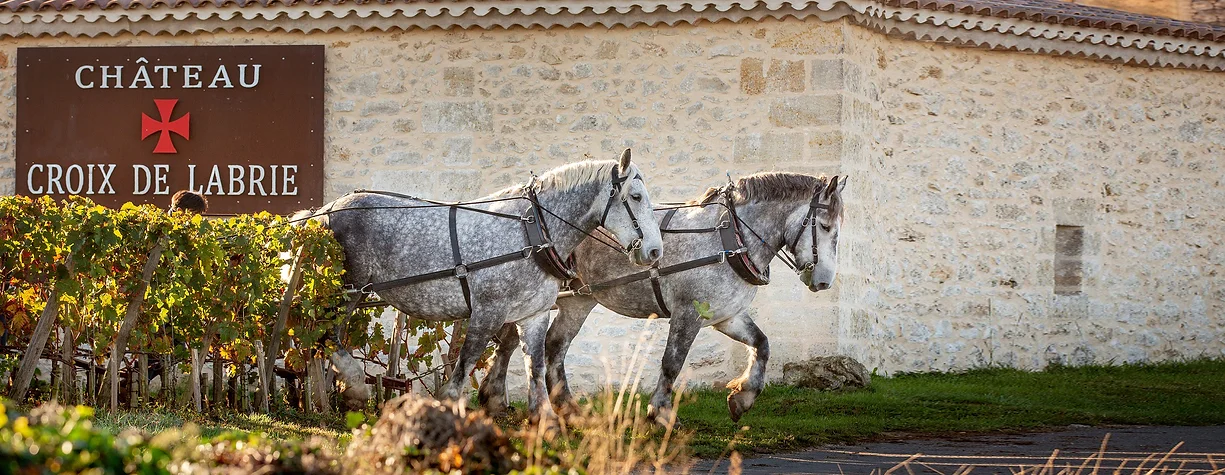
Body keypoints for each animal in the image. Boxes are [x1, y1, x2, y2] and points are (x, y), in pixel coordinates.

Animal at [296, 150, 661, 421]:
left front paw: (546, 420)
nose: (655, 251)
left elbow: (535, 366)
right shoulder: (488, 311)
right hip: (347, 290)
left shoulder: (533, 314)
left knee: (319, 337)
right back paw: (356, 390)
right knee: (325, 335)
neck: (531, 231)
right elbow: (466, 363)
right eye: (636, 196)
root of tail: (326, 210)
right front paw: (447, 407)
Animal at [482, 172, 847, 426]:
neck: (730, 238)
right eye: (826, 226)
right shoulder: (688, 313)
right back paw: (500, 399)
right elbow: (672, 362)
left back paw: (552, 406)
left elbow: (762, 345)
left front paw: (742, 398)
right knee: (519, 341)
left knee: (548, 345)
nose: (824, 281)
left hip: (575, 300)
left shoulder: (726, 316)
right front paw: (661, 412)